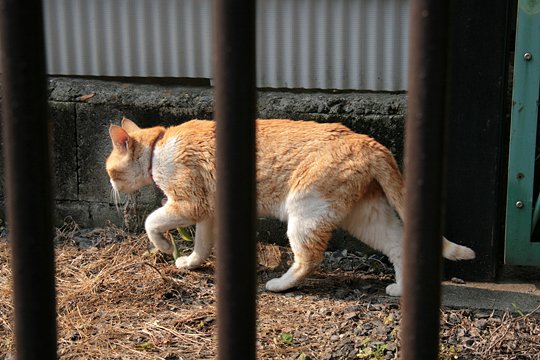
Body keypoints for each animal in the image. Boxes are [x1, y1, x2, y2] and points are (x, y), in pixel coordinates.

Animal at [106, 116, 476, 296]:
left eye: (110, 171)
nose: (111, 186)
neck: (159, 147)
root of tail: (367, 141)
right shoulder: (209, 212)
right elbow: (202, 244)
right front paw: (191, 263)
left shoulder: (190, 204)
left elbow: (152, 221)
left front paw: (165, 247)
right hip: (367, 216)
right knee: (399, 245)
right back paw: (401, 289)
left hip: (305, 210)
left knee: (309, 258)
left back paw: (280, 285)